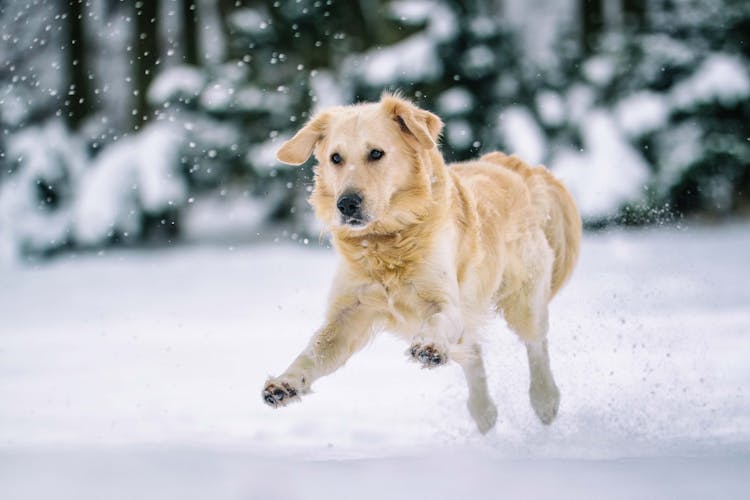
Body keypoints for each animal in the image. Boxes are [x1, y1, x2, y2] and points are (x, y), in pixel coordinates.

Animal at [262, 94, 580, 434]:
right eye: (336, 158)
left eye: (376, 153)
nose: (346, 204)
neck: (386, 241)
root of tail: (512, 166)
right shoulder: (348, 314)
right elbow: (313, 352)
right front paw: (285, 383)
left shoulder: (447, 301)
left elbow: (438, 321)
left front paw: (428, 347)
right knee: (473, 353)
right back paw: (483, 412)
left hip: (524, 299)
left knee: (536, 345)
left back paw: (545, 400)